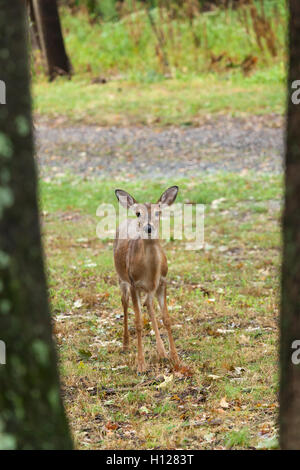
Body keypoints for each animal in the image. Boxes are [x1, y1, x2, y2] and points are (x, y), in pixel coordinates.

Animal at [114, 185, 180, 372]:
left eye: (158, 212)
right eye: (138, 213)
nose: (148, 228)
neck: (150, 271)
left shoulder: (163, 281)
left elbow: (167, 319)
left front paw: (175, 358)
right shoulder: (134, 283)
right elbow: (138, 323)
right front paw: (141, 364)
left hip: (150, 289)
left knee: (148, 304)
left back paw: (162, 352)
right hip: (121, 279)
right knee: (124, 304)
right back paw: (126, 345)